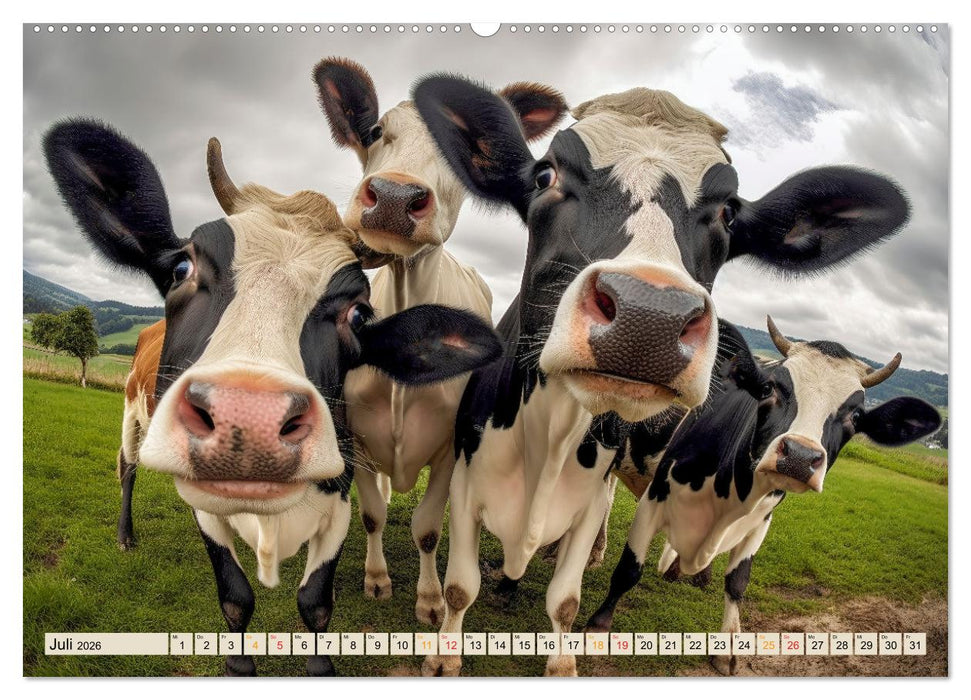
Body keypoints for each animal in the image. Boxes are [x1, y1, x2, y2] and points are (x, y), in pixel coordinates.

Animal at [43, 119, 501, 676]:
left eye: (359, 314)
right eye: (181, 270)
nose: (247, 419)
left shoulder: (339, 497)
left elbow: (315, 602)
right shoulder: (208, 511)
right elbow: (236, 596)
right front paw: (240, 665)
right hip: (132, 413)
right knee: (127, 467)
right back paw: (126, 535)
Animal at [312, 57, 567, 624]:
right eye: (374, 132)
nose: (393, 197)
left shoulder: (453, 449)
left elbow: (428, 529)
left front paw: (429, 600)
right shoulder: (355, 438)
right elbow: (371, 514)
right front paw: (377, 578)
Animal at [585, 317, 941, 675]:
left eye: (855, 417)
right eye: (770, 389)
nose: (799, 455)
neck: (733, 494)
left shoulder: (761, 520)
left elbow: (737, 582)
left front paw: (728, 647)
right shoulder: (656, 496)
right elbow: (629, 569)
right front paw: (598, 627)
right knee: (601, 496)